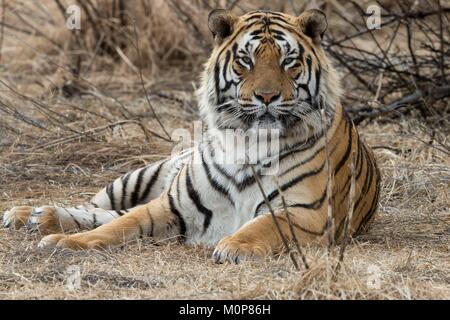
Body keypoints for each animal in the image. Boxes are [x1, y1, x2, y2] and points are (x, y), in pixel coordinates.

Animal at [1, 9, 380, 262]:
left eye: (289, 61)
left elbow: (262, 226)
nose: (267, 96)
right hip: (137, 178)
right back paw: (30, 215)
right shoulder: (171, 205)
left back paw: (37, 217)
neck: (249, 144)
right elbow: (116, 226)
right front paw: (67, 243)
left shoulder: (307, 213)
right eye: (246, 60)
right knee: (100, 209)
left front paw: (234, 246)